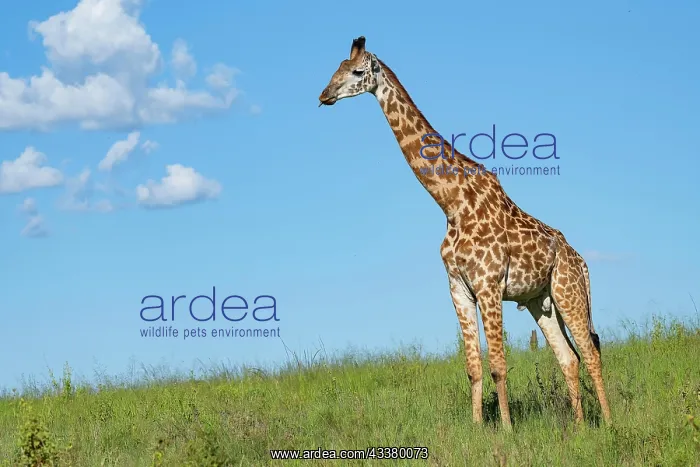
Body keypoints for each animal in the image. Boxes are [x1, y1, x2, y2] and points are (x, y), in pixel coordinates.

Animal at [318, 36, 612, 429]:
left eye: (357, 71)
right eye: (336, 68)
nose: (324, 95)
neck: (452, 204)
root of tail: (582, 262)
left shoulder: (488, 285)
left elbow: (499, 365)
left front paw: (506, 429)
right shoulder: (458, 288)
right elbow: (473, 366)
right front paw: (476, 428)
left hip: (569, 291)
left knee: (591, 351)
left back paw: (609, 423)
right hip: (542, 301)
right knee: (569, 358)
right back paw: (579, 427)